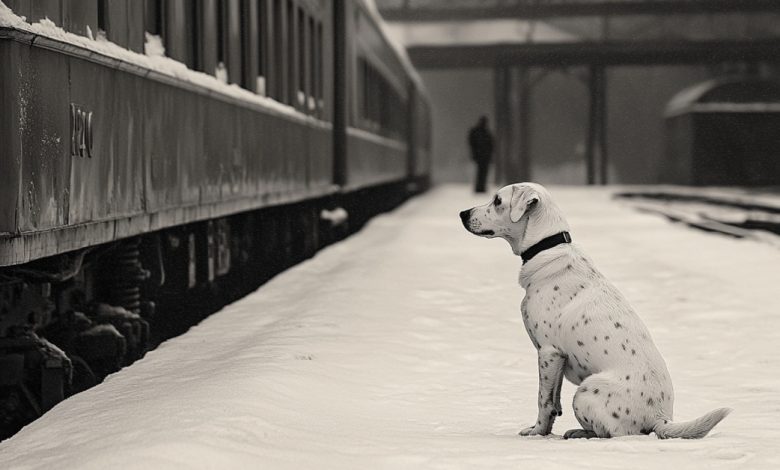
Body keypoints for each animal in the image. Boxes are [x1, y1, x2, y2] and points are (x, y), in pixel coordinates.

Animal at [460, 182, 728, 438]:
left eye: (497, 201)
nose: (462, 213)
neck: (546, 247)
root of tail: (661, 418)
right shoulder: (557, 359)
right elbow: (554, 402)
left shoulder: (548, 352)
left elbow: (543, 401)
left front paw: (537, 431)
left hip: (586, 391)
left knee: (613, 433)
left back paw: (580, 432)